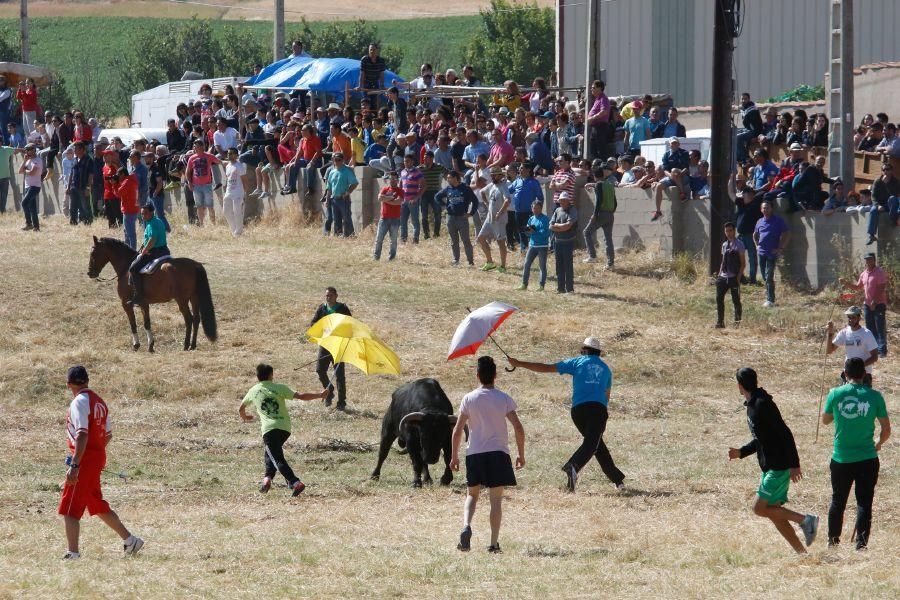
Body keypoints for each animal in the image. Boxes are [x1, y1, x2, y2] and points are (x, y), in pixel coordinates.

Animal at [87, 237, 218, 352]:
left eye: (93, 253)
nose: (90, 273)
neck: (126, 268)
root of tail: (195, 265)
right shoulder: (144, 304)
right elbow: (147, 323)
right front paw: (150, 345)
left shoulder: (126, 303)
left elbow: (133, 323)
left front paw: (136, 345)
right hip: (193, 297)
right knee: (196, 319)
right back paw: (193, 345)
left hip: (182, 300)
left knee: (189, 319)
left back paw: (185, 345)